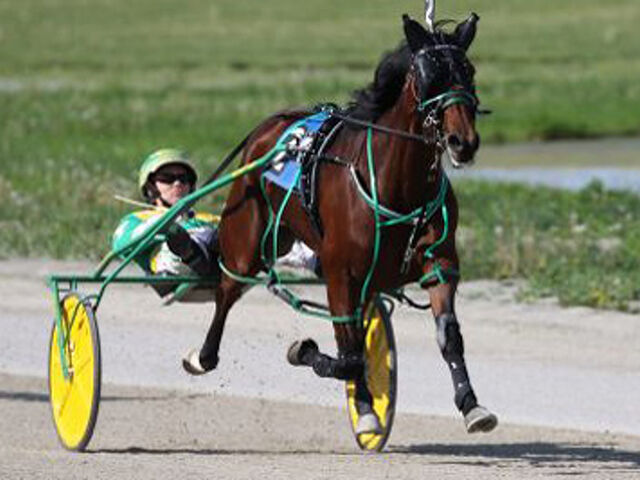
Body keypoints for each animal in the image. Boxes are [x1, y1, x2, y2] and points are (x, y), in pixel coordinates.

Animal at [183, 13, 497, 435]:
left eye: (468, 72)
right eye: (427, 76)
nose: (462, 141)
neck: (397, 188)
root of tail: (272, 124)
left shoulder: (439, 265)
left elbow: (447, 336)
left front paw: (471, 405)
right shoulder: (340, 275)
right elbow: (348, 355)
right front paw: (314, 360)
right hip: (246, 238)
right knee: (227, 290)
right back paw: (202, 356)